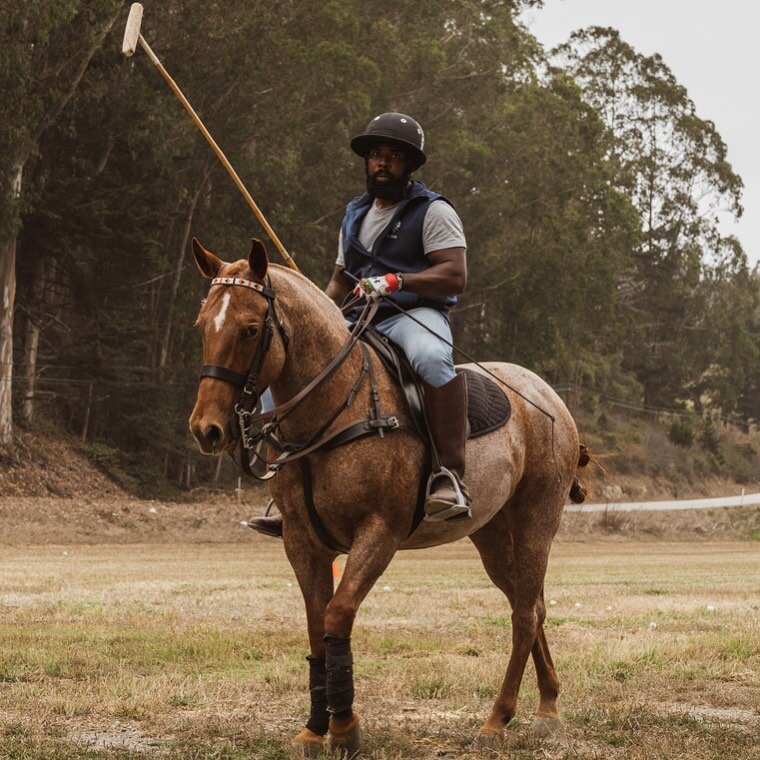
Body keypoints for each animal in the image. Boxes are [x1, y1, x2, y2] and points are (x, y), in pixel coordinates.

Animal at [190, 238, 580, 756]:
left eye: (251, 329)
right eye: (202, 326)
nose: (207, 429)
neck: (331, 411)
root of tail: (549, 396)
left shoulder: (379, 533)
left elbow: (337, 615)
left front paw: (344, 725)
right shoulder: (301, 540)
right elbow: (315, 627)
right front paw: (314, 727)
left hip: (537, 517)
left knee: (522, 614)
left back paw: (498, 718)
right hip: (492, 533)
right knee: (532, 604)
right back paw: (548, 706)